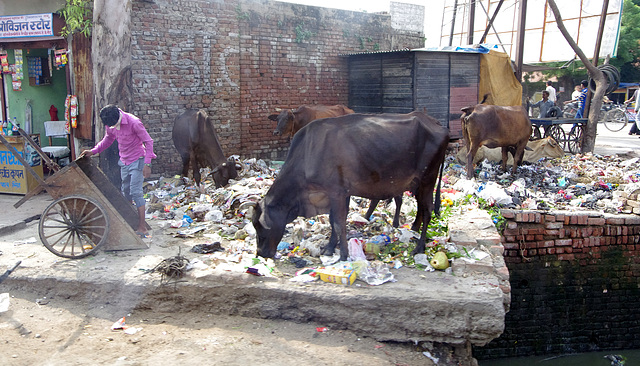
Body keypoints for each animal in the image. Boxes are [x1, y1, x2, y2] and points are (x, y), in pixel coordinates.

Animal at [252, 111, 448, 260]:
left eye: (260, 229)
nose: (261, 254)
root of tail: (437, 123)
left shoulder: (336, 192)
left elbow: (339, 223)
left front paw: (343, 255)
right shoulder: (342, 193)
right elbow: (334, 221)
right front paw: (330, 248)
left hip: (428, 179)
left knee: (428, 210)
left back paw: (419, 247)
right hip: (418, 184)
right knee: (421, 209)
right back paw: (414, 233)